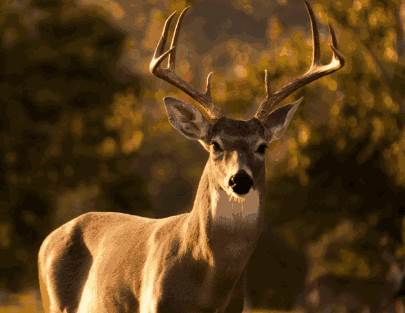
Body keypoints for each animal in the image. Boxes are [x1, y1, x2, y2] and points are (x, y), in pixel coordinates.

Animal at [37, 1, 340, 310]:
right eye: (215, 144)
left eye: (262, 146)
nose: (239, 180)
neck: (205, 284)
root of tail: (48, 239)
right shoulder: (152, 305)